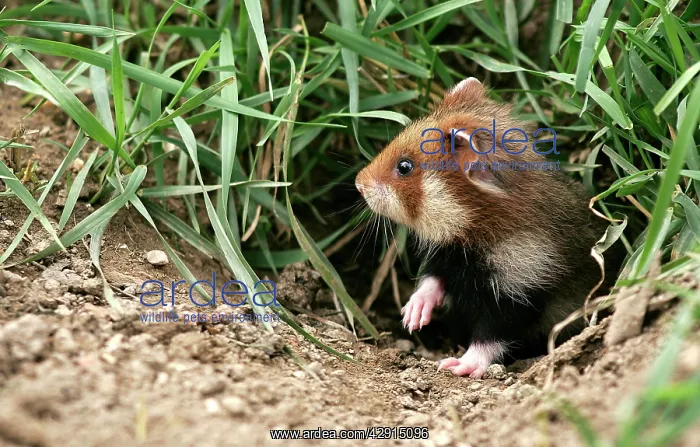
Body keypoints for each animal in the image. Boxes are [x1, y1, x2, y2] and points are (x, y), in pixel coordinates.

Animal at [355, 78, 622, 378]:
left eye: (404, 166)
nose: (358, 183)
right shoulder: (449, 254)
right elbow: (433, 278)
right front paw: (413, 312)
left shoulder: (521, 288)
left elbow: (491, 336)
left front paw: (460, 364)